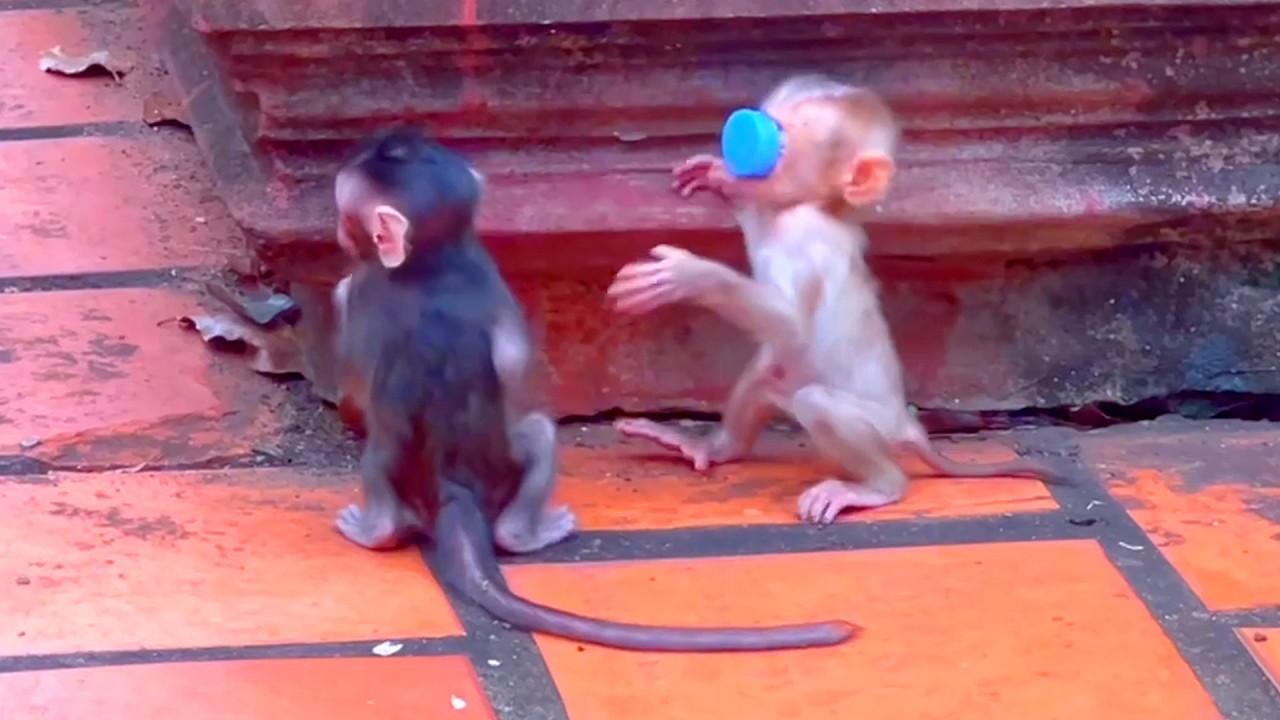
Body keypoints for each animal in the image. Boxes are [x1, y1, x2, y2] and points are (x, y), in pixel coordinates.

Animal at [330, 126, 860, 652]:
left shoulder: (365, 290)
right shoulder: (456, 285)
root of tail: (453, 488)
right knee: (533, 436)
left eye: (342, 214)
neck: (432, 262)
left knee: (528, 436)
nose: (338, 232)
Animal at [606, 74, 1067, 526]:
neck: (822, 207)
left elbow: (790, 322)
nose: (735, 140)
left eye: (777, 145)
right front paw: (714, 174)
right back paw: (715, 448)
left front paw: (689, 275)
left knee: (818, 402)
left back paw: (877, 486)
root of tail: (908, 425)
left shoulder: (806, 234)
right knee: (767, 371)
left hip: (876, 427)